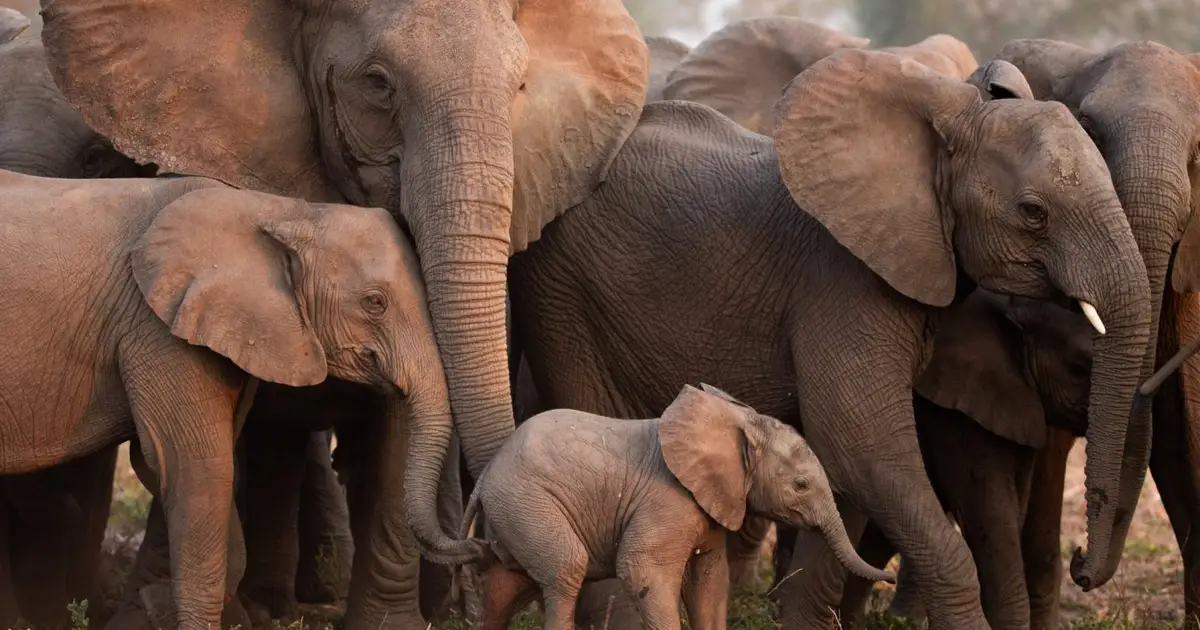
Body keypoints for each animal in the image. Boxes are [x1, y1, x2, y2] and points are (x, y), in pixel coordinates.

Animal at [0, 170, 457, 630]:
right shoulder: (159, 329)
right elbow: (199, 466)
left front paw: (159, 604)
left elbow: (174, 466)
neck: (282, 209)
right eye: (375, 302)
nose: (466, 547)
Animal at [464, 384, 894, 630]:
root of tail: (485, 477)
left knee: (506, 584)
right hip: (527, 502)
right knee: (565, 569)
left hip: (515, 513)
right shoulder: (667, 501)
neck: (738, 421)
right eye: (801, 486)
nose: (888, 577)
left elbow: (710, 581)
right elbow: (643, 570)